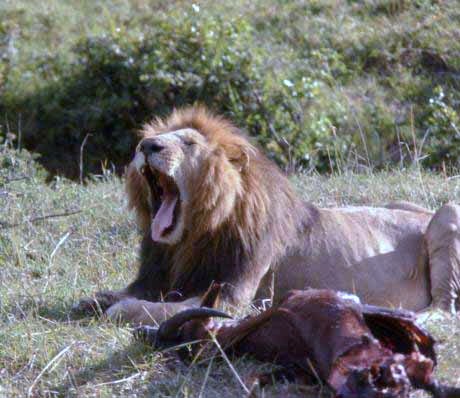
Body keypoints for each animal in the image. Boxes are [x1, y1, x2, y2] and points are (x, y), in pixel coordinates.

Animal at [73, 105, 458, 324]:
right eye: (155, 136)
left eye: (189, 143)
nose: (146, 146)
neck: (192, 238)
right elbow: (125, 294)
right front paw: (96, 299)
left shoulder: (230, 296)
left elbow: (152, 308)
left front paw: (116, 309)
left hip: (448, 213)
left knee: (445, 306)